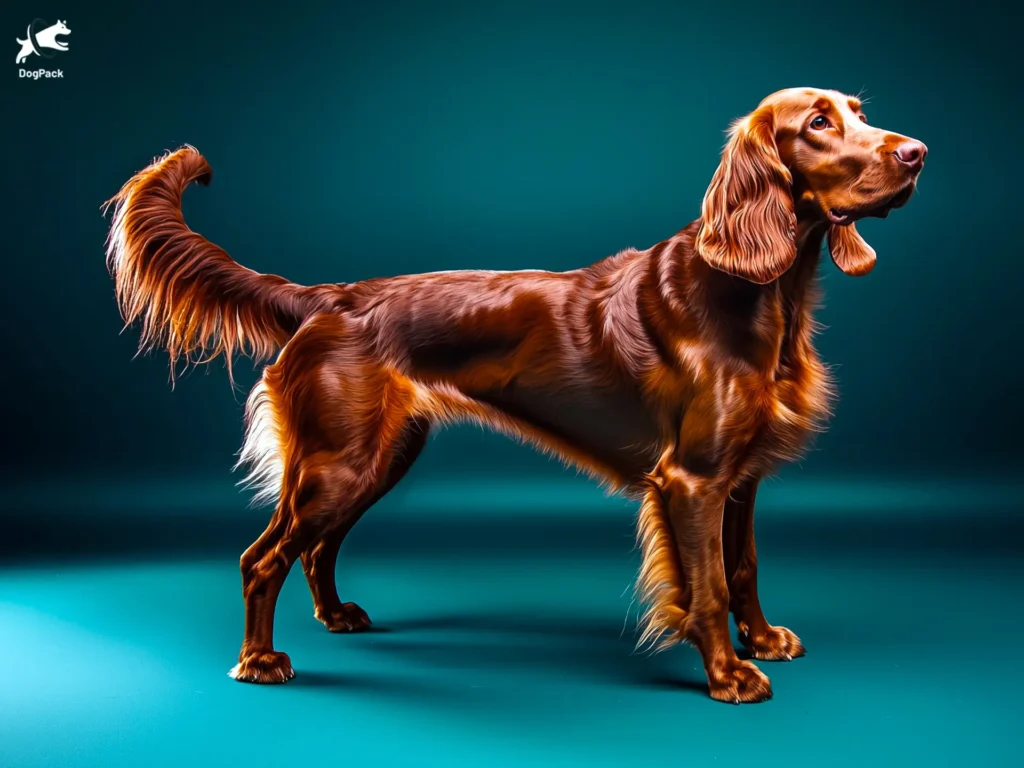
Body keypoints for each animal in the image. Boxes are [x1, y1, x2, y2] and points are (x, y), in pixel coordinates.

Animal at [105, 88, 929, 704]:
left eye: (857, 110)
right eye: (818, 123)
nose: (918, 152)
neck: (761, 291)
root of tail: (327, 298)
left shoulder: (741, 476)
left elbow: (745, 566)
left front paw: (763, 641)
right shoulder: (691, 479)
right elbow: (709, 586)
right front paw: (729, 673)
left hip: (378, 456)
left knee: (316, 546)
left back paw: (336, 615)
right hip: (338, 460)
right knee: (264, 555)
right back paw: (260, 663)